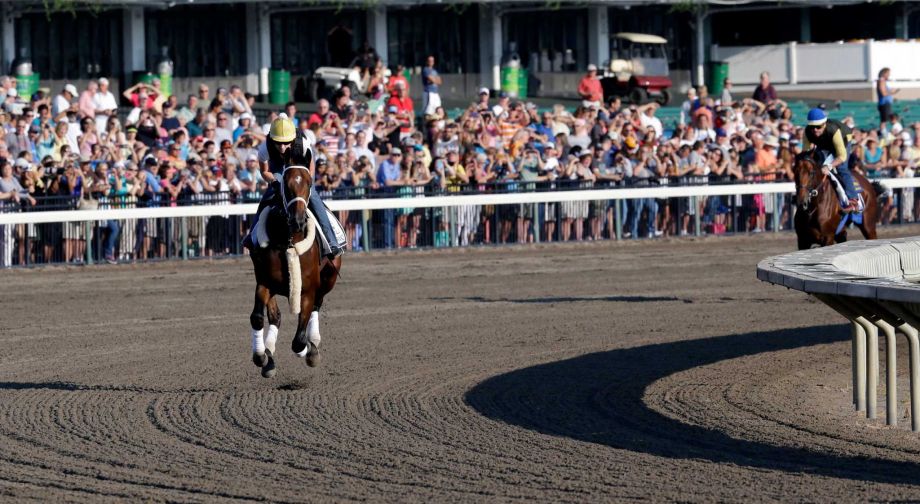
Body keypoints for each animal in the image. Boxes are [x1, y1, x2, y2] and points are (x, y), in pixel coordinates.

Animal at [248, 155, 342, 378]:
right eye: (286, 184)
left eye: (309, 183)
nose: (298, 220)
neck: (288, 239)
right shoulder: (265, 282)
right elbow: (258, 317)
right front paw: (261, 356)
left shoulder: (308, 289)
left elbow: (299, 340)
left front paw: (309, 350)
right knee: (275, 317)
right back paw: (269, 357)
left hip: (329, 279)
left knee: (316, 306)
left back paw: (313, 345)